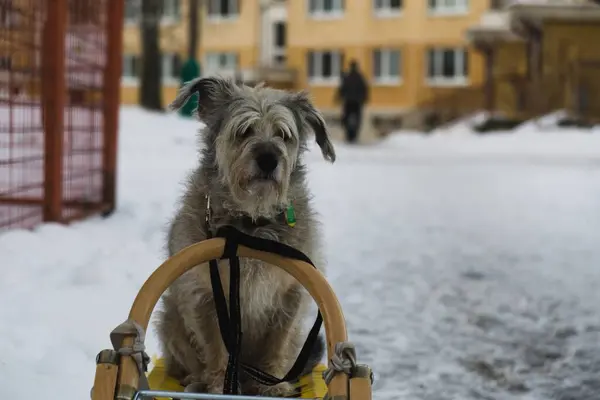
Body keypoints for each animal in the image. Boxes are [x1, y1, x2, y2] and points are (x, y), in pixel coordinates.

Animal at [155, 76, 336, 396]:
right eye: (244, 131)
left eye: (283, 135)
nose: (268, 158)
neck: (251, 224)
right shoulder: (204, 297)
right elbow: (216, 348)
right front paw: (219, 387)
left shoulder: (291, 295)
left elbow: (277, 343)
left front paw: (274, 385)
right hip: (169, 317)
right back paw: (196, 381)